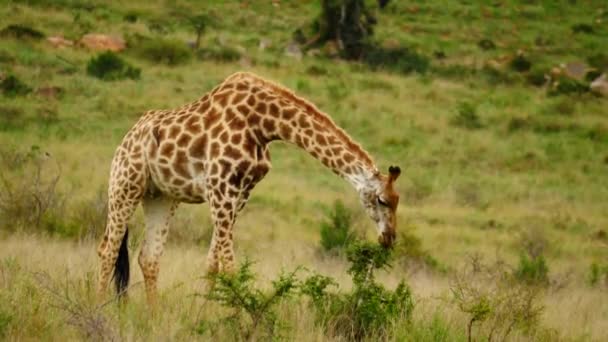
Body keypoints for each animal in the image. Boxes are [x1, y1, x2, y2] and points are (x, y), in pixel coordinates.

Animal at [97, 71, 402, 302]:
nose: (389, 239)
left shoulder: (240, 194)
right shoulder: (219, 189)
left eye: (398, 201)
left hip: (160, 197)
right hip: (125, 185)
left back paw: (154, 315)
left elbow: (213, 265)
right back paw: (100, 308)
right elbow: (230, 267)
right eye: (382, 200)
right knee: (107, 250)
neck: (264, 124)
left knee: (148, 258)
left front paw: (208, 314)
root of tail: (126, 138)